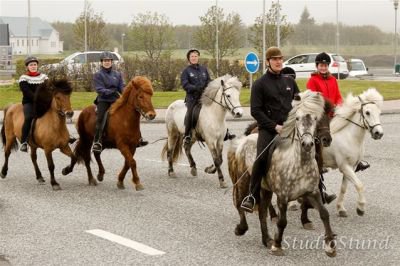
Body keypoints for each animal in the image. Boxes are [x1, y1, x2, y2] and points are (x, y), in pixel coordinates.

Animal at [322, 88, 384, 217]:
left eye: (379, 113)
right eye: (367, 112)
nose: (379, 133)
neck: (350, 137)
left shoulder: (351, 166)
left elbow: (344, 188)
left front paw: (340, 208)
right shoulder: (344, 166)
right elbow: (359, 185)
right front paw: (360, 207)